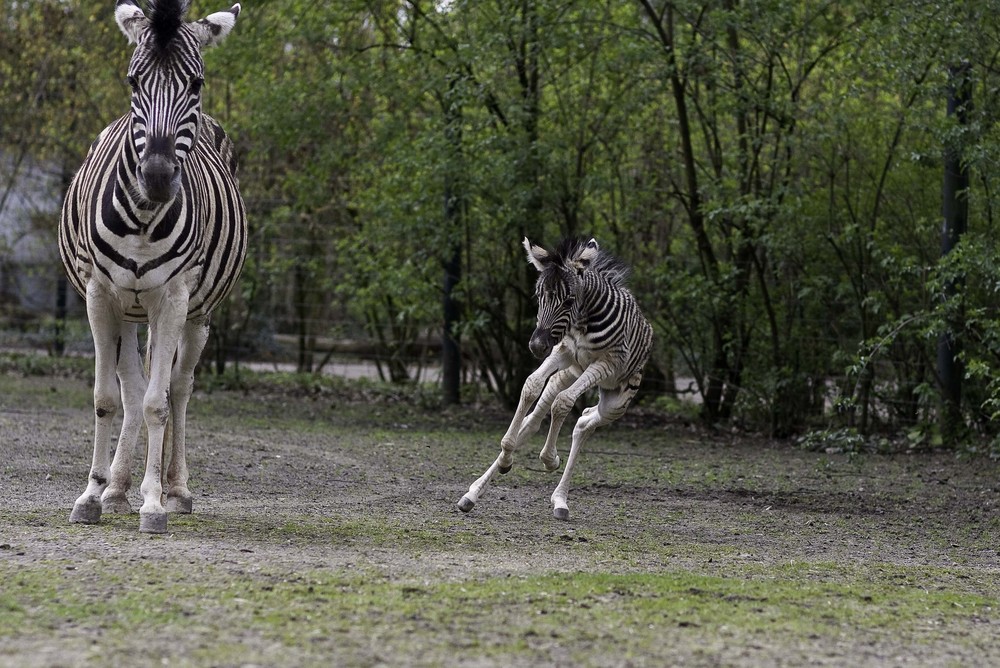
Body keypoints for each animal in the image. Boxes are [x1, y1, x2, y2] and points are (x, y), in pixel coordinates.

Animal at [59, 0, 247, 532]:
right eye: (132, 80)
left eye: (196, 83)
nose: (159, 177)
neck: (144, 216)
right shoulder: (99, 296)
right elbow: (107, 398)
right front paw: (92, 495)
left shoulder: (174, 298)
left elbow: (157, 405)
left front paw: (154, 503)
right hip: (126, 309)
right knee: (132, 384)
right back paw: (117, 488)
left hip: (198, 314)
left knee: (178, 388)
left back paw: (173, 487)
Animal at [458, 237, 652, 520]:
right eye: (539, 296)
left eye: (569, 301)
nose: (537, 346)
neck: (582, 322)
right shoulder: (563, 351)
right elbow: (531, 385)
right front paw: (507, 456)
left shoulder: (606, 363)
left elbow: (563, 402)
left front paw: (550, 459)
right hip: (570, 372)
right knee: (535, 420)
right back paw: (474, 492)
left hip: (615, 401)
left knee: (583, 421)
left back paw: (560, 500)